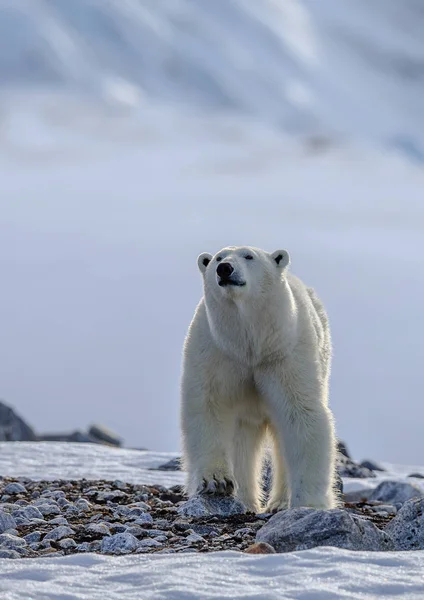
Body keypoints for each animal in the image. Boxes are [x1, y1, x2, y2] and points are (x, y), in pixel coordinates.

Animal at [180, 246, 338, 512]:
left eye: (249, 256)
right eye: (218, 258)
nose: (225, 269)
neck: (251, 345)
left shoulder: (284, 355)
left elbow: (301, 414)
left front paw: (309, 503)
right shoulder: (216, 350)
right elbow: (208, 405)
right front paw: (216, 481)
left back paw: (279, 503)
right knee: (243, 443)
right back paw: (246, 500)